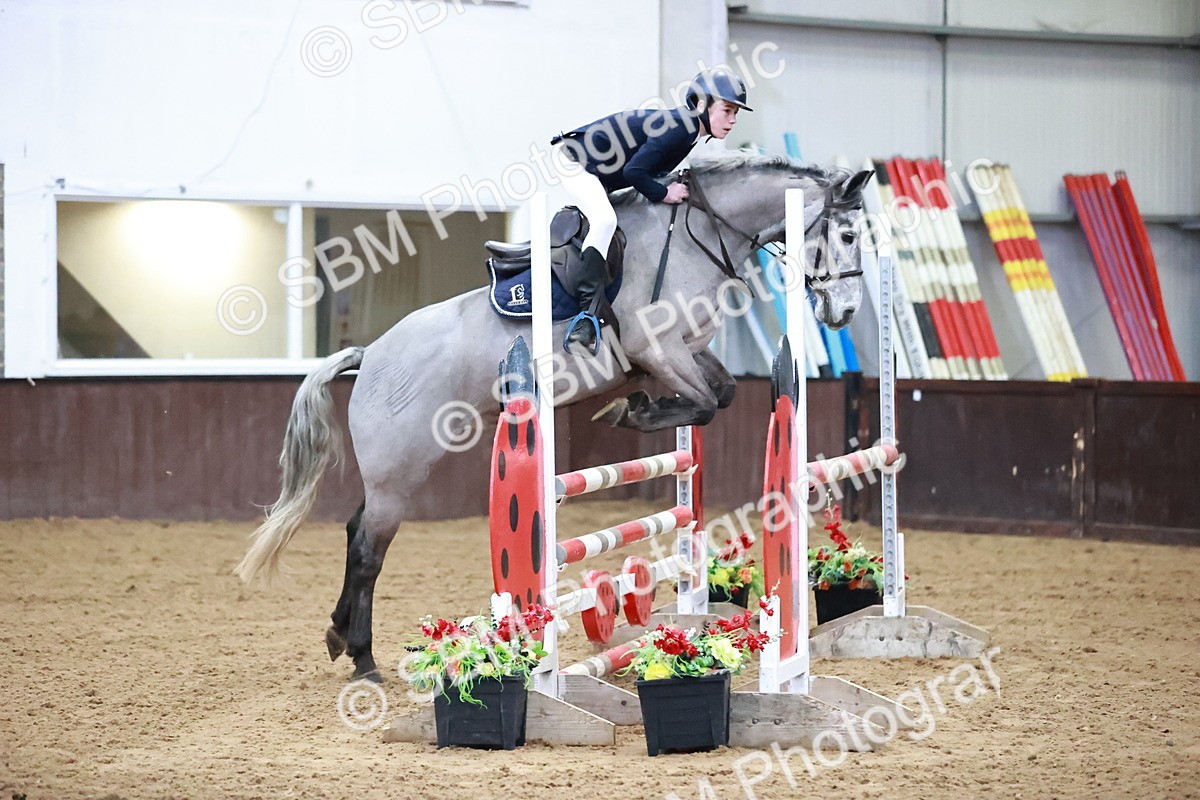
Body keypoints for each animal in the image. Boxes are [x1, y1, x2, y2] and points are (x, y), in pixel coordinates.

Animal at [236, 153, 873, 680]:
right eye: (846, 234)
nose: (844, 313)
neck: (699, 234)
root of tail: (370, 356)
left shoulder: (689, 351)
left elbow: (723, 394)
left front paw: (638, 407)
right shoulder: (658, 349)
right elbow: (707, 404)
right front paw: (629, 410)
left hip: (393, 473)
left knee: (355, 531)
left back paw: (338, 636)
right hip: (401, 471)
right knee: (369, 549)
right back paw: (364, 659)